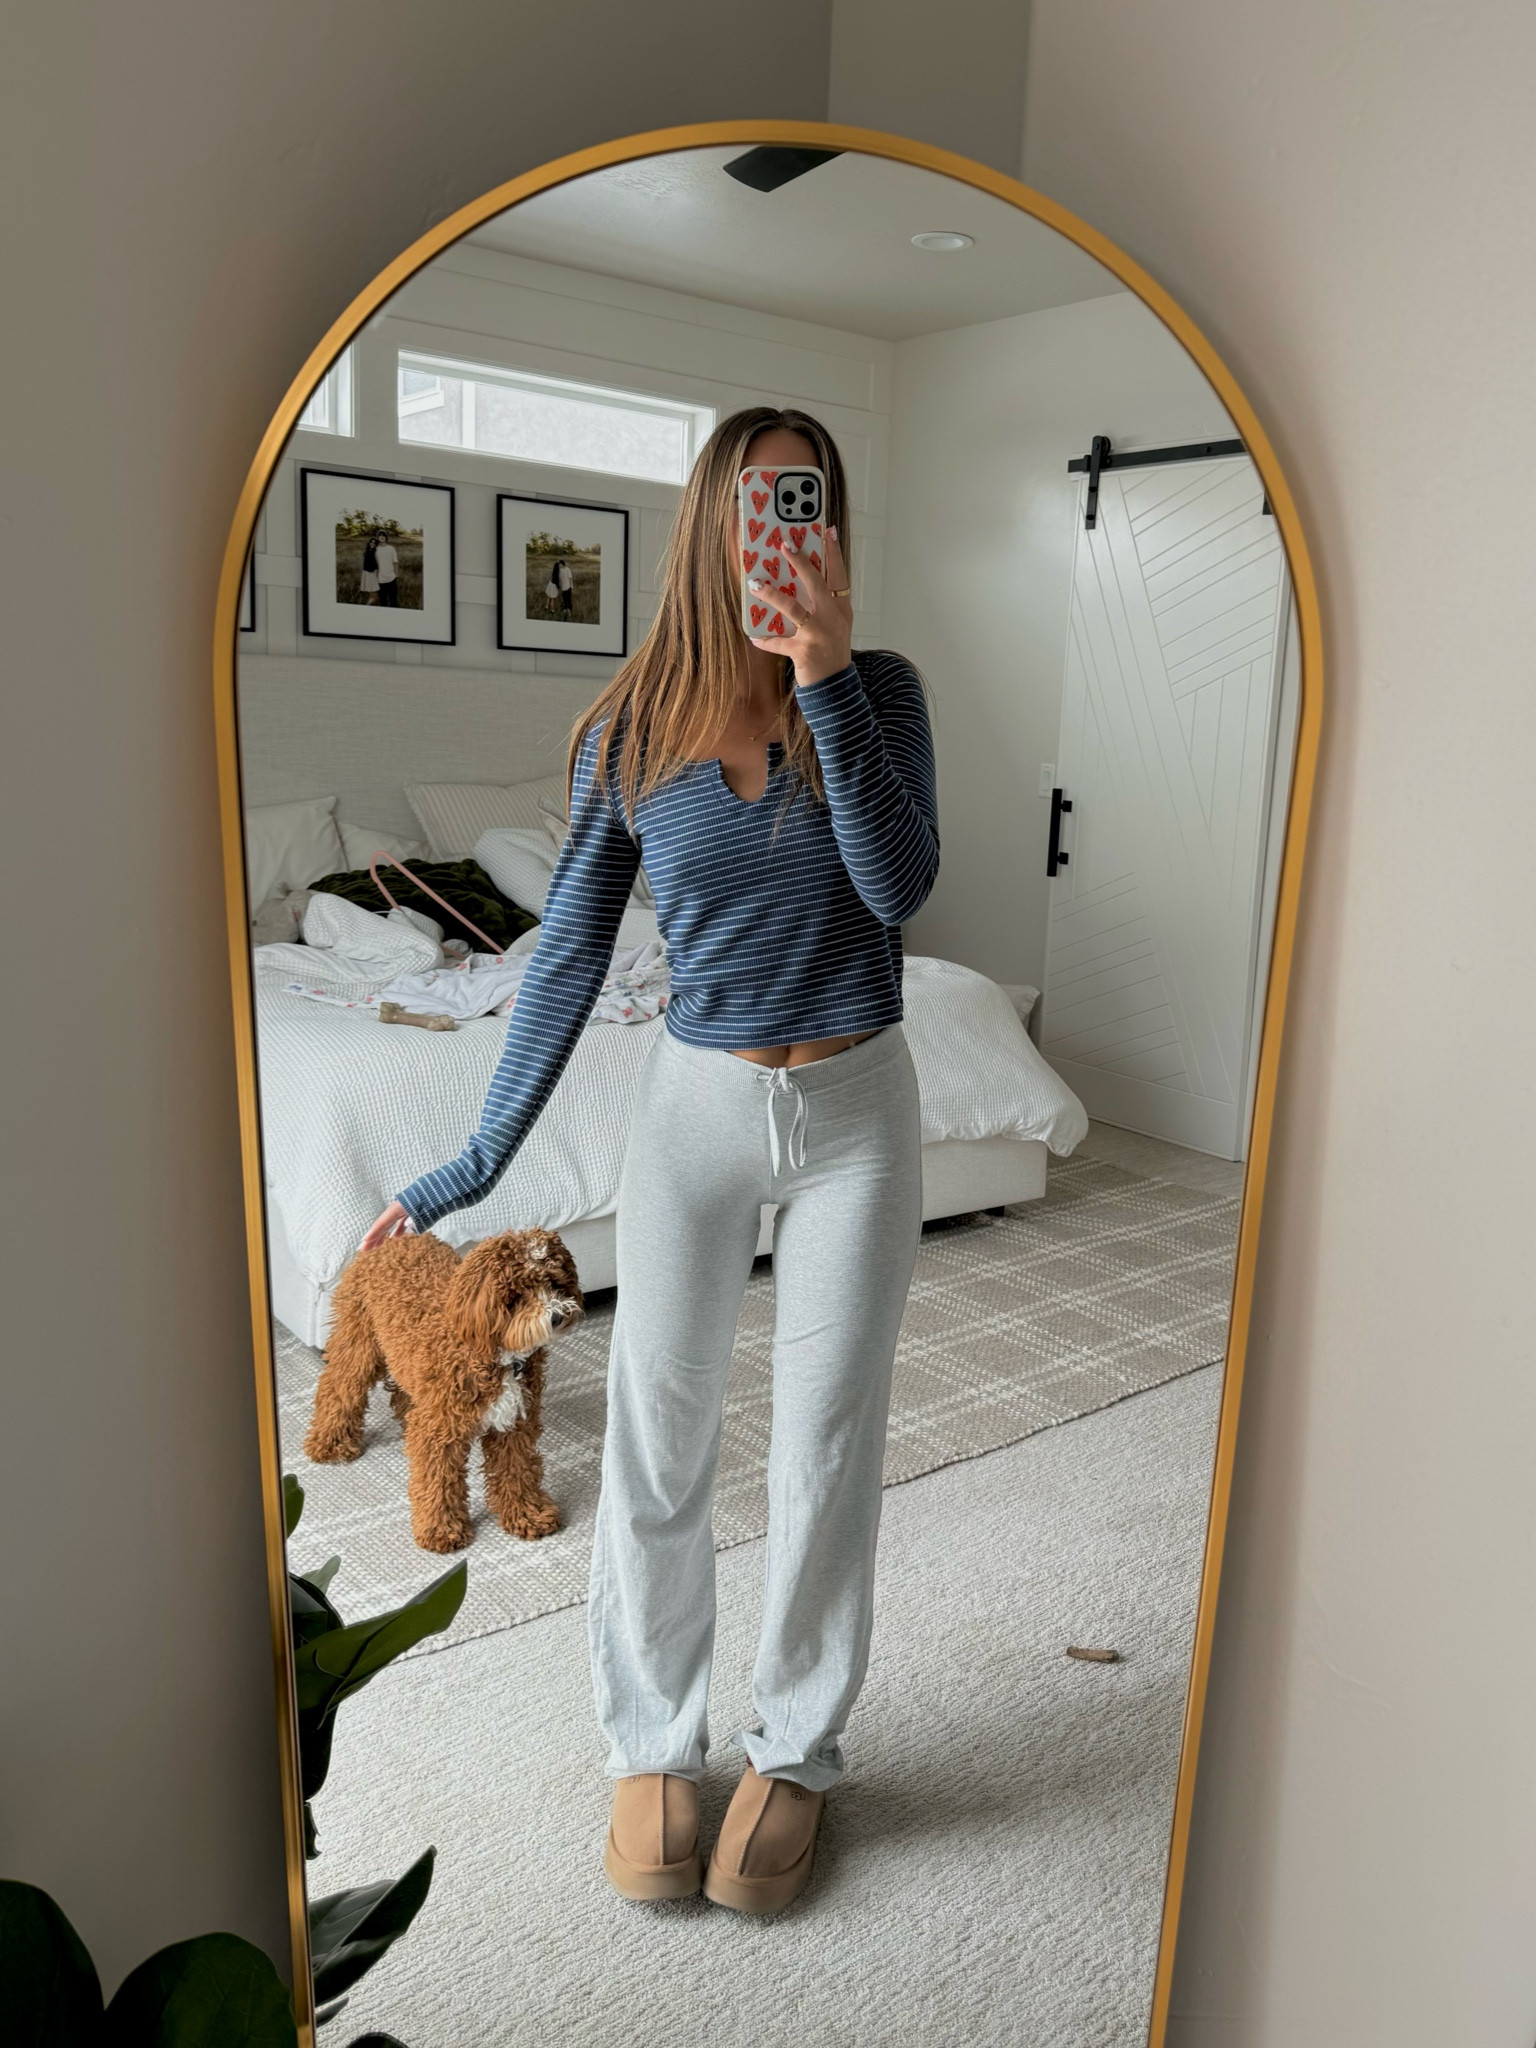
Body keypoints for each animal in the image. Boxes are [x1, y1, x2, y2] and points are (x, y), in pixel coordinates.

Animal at [304, 1226, 583, 1554]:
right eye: (516, 1295)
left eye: (553, 1281)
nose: (557, 1316)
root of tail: (396, 1239)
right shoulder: (440, 1431)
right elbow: (438, 1482)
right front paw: (442, 1530)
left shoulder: (514, 1425)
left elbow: (518, 1470)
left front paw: (528, 1514)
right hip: (359, 1342)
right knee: (338, 1387)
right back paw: (331, 1444)